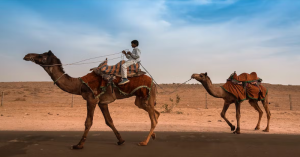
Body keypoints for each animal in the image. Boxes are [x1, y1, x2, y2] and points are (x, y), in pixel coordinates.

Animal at [23, 50, 159, 148]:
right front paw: (121, 140)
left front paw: (79, 144)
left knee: (153, 118)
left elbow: (88, 122)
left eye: (41, 56)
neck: (79, 84)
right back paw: (153, 136)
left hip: (147, 94)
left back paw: (144, 142)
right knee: (155, 113)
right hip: (140, 99)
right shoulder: (102, 102)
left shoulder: (91, 99)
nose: (27, 56)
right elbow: (109, 121)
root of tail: (152, 81)